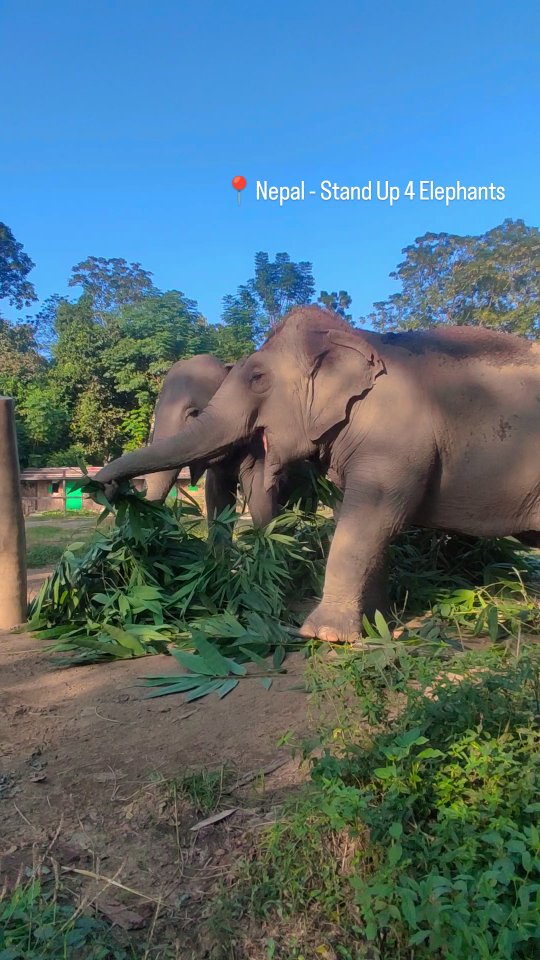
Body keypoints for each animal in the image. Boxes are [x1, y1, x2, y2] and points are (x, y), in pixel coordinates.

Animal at [96, 305, 540, 642]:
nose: (107, 486)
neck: (354, 338)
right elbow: (351, 516)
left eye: (258, 379)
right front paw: (374, 622)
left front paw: (322, 633)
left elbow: (371, 518)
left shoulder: (394, 442)